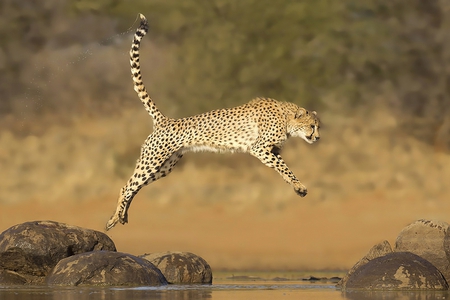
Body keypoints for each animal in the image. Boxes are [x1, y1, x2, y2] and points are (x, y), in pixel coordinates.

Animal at [105, 13, 320, 230]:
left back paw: (121, 217)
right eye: (312, 126)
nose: (317, 137)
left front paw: (297, 187)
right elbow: (283, 167)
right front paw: (300, 186)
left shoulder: (272, 151)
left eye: (318, 127)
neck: (286, 118)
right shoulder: (258, 148)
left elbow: (283, 167)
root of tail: (165, 120)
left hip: (165, 166)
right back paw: (115, 218)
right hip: (152, 160)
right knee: (127, 186)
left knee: (134, 187)